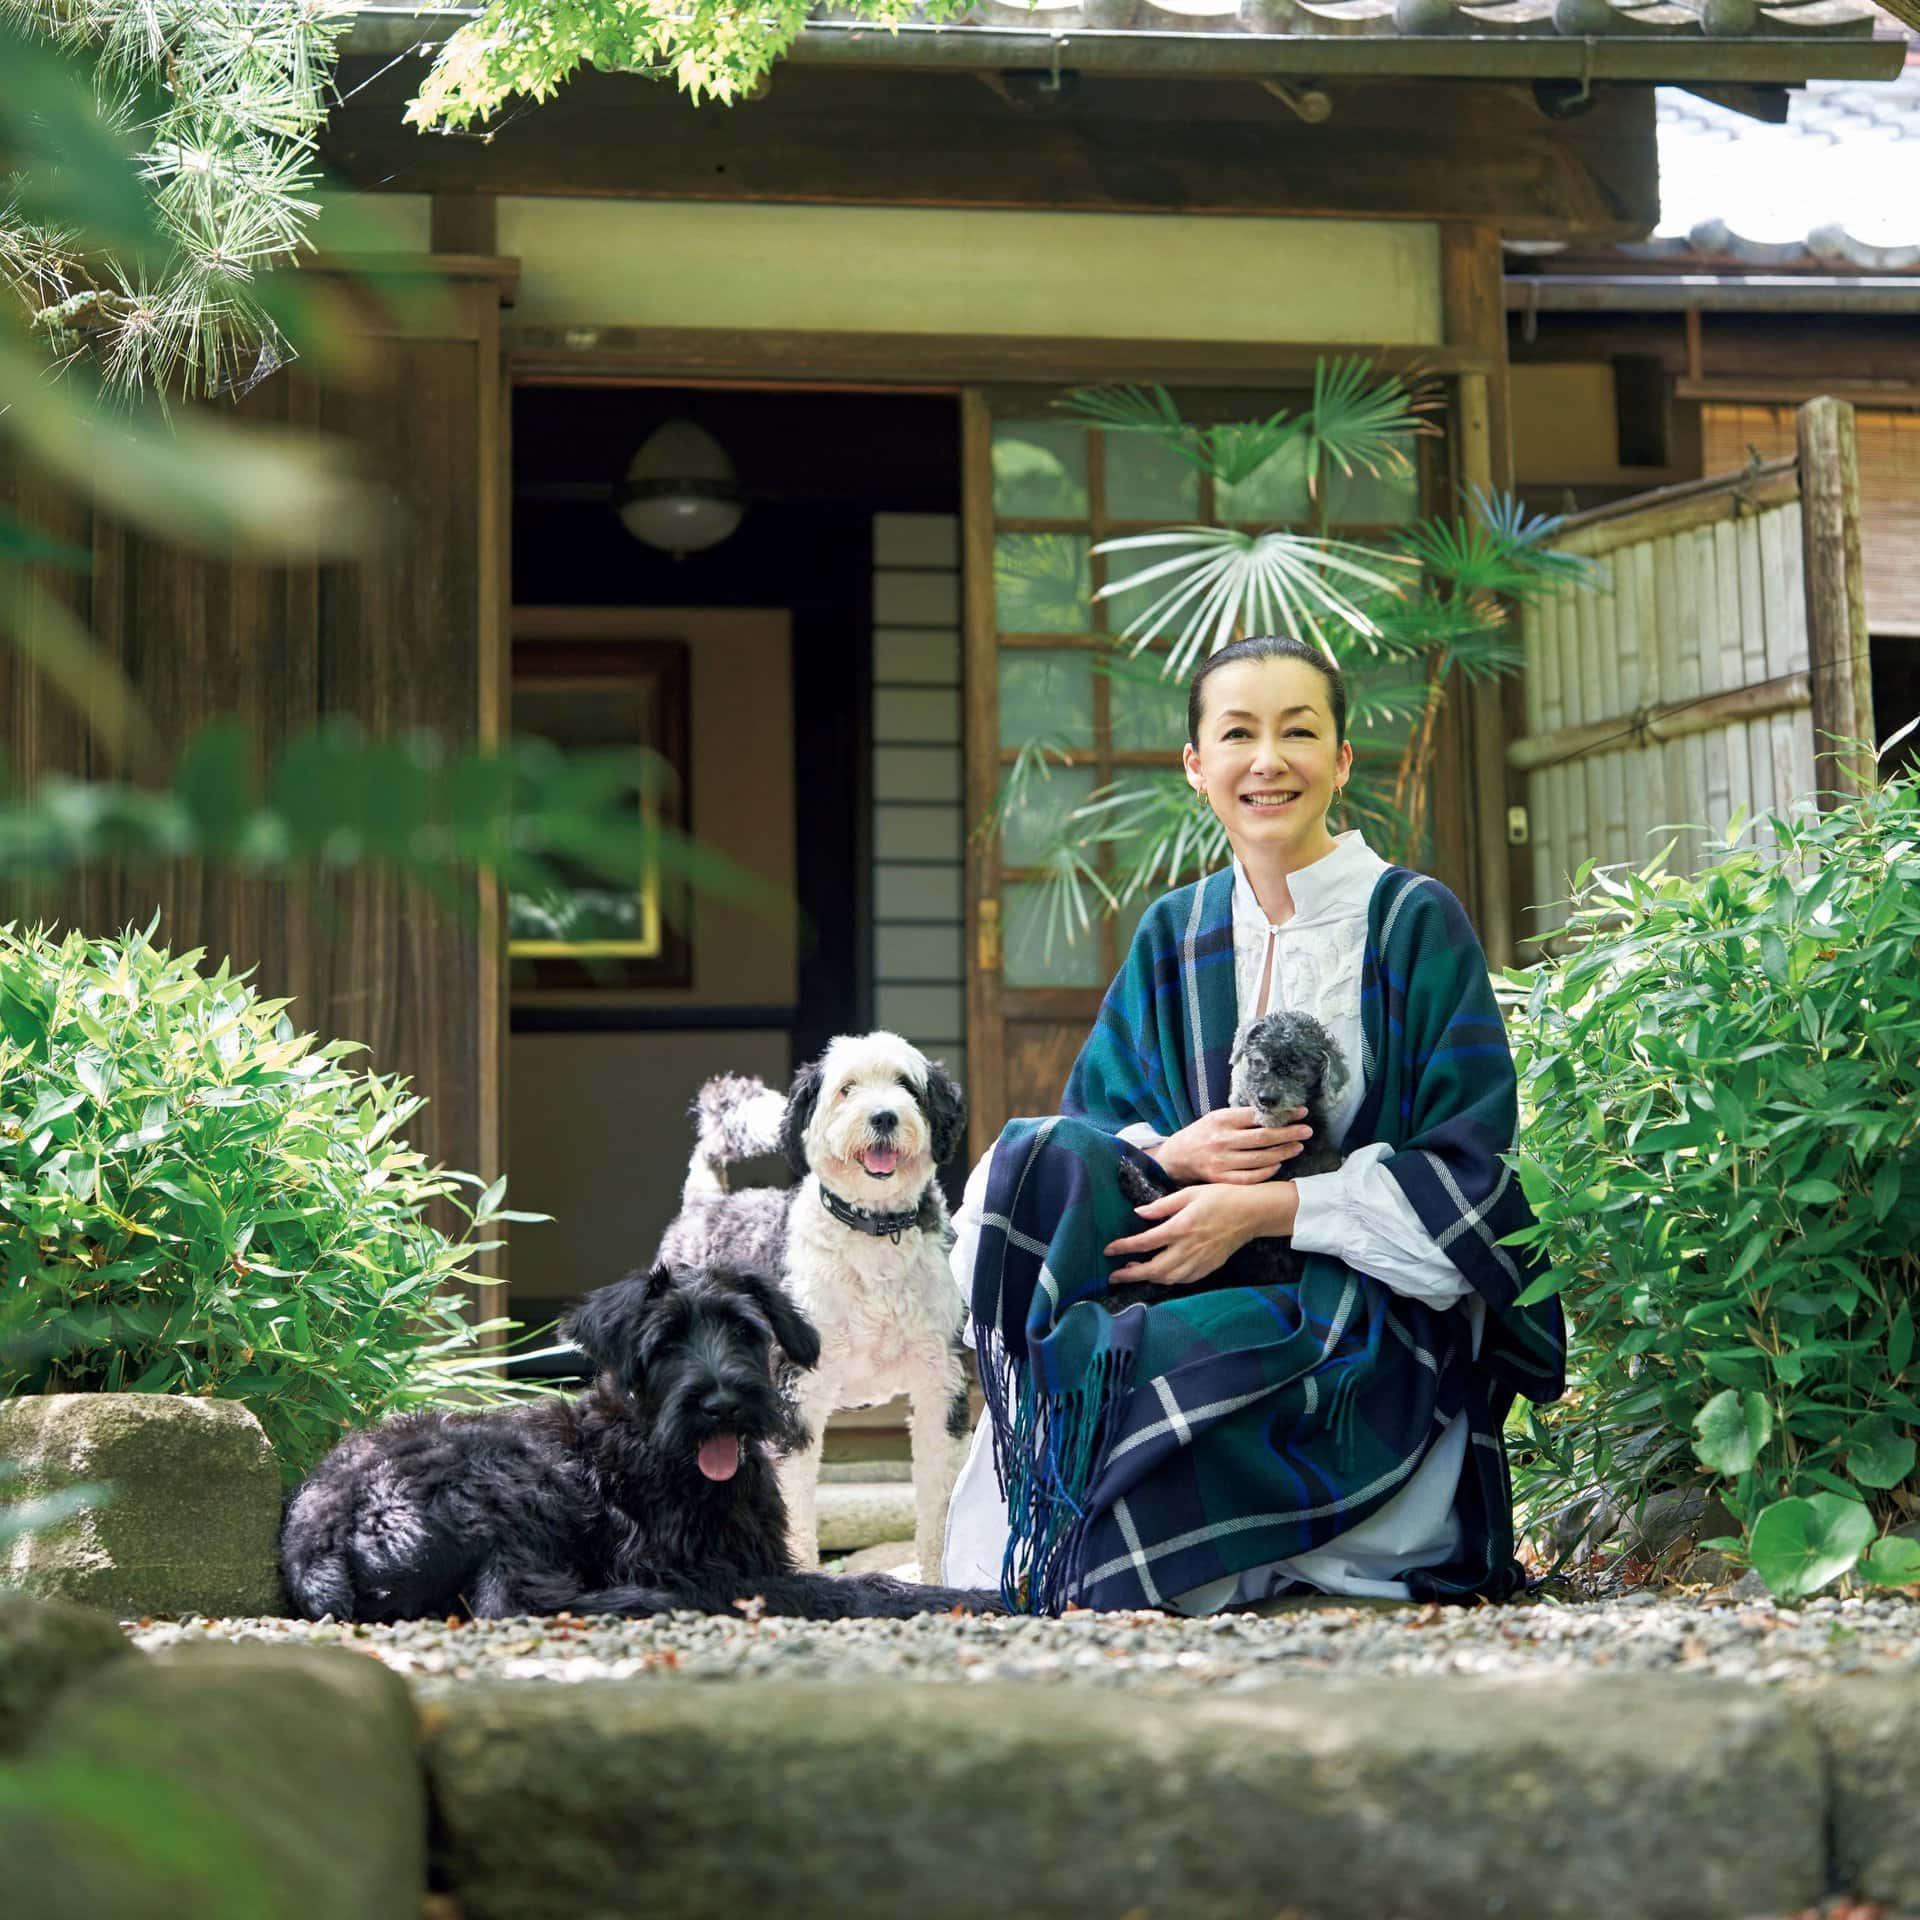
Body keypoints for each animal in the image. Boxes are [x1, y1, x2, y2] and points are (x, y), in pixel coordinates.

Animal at [284, 1267, 1006, 1628]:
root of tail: (311, 1538)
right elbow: (849, 1587)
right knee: (509, 1603)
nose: (721, 1403)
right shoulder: (703, 1568)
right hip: (511, 1483)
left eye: (745, 1331)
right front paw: (967, 1598)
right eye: (665, 1344)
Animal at [660, 1044, 975, 1582]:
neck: (873, 1234)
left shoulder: (941, 1385)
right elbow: (793, 1503)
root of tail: (706, 1200)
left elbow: (939, 1505)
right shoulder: (797, 1394)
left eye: (906, 1085)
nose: (884, 1116)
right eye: (846, 1088)